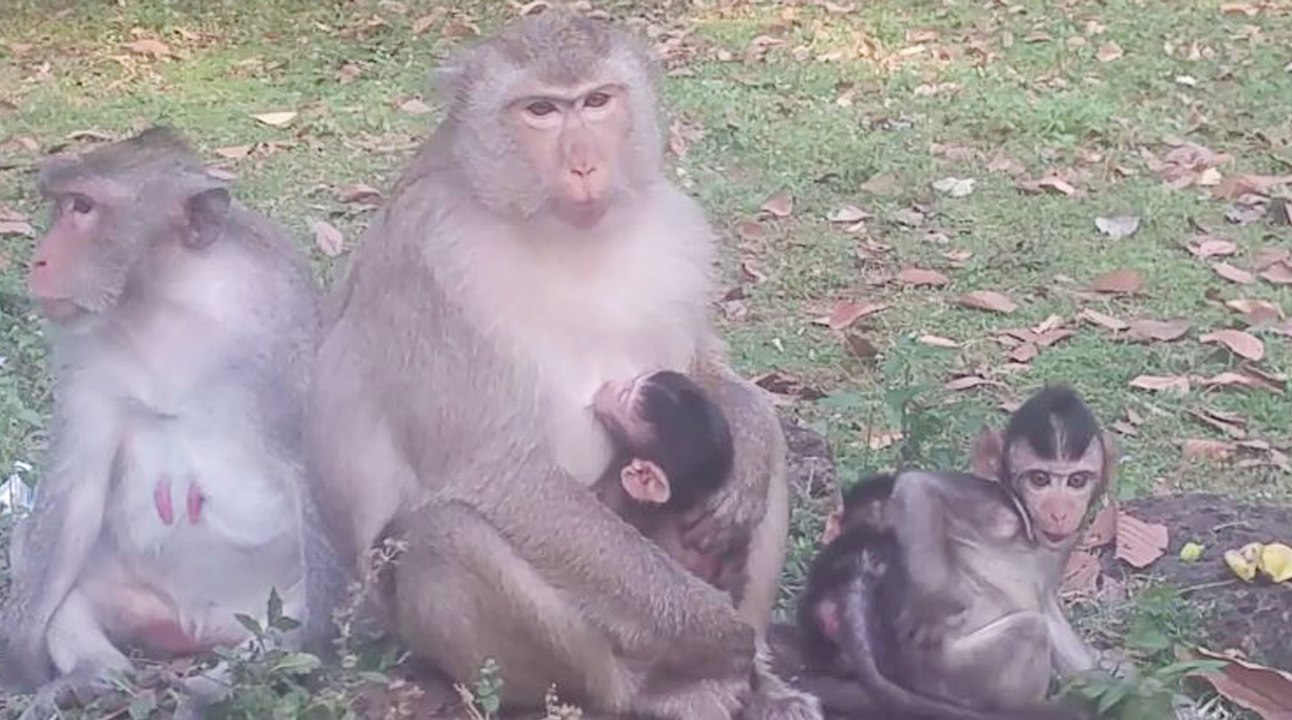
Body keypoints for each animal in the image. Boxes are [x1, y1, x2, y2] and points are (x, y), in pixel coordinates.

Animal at [0, 127, 328, 718]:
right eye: (62, 204)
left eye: (83, 207)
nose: (38, 261)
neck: (168, 302)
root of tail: (191, 627)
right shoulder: (84, 349)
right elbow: (75, 490)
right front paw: (19, 668)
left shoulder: (284, 332)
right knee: (49, 562)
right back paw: (94, 675)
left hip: (259, 609)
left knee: (284, 625)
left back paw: (208, 689)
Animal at [302, 10, 817, 720]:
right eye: (541, 110)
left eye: (597, 101)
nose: (584, 165)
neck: (563, 232)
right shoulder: (430, 269)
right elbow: (498, 473)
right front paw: (715, 628)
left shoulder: (678, 228)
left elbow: (706, 373)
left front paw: (748, 443)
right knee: (444, 531)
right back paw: (656, 690)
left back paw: (762, 682)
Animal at [794, 385, 1113, 720]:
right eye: (1040, 479)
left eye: (1077, 480)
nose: (1059, 512)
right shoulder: (997, 510)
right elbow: (918, 486)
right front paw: (934, 604)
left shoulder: (1066, 538)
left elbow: (1046, 603)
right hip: (951, 674)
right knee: (1031, 630)